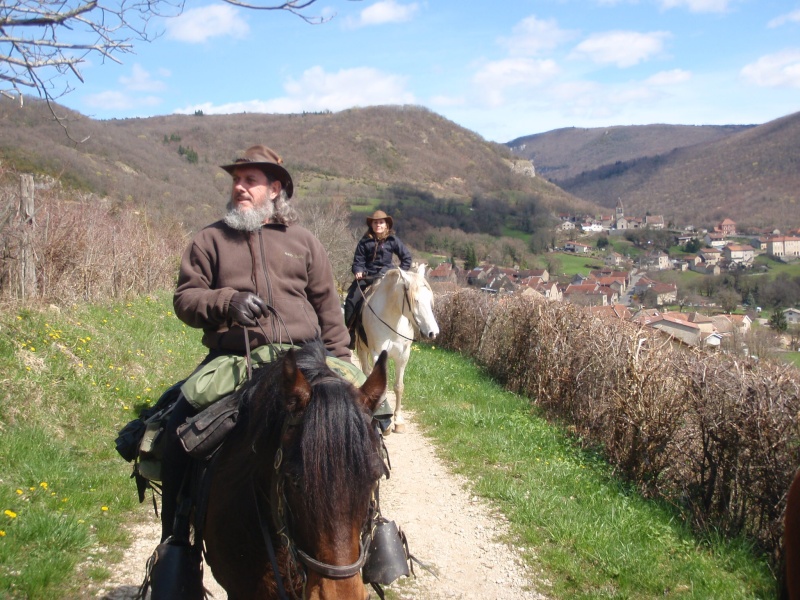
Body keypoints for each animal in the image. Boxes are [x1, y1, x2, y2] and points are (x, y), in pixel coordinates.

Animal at [356, 264, 438, 432]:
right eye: (416, 300)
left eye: (429, 299)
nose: (433, 333)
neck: (392, 321)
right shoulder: (377, 354)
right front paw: (384, 423)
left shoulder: (403, 356)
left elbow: (399, 387)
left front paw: (398, 421)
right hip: (361, 349)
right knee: (366, 372)